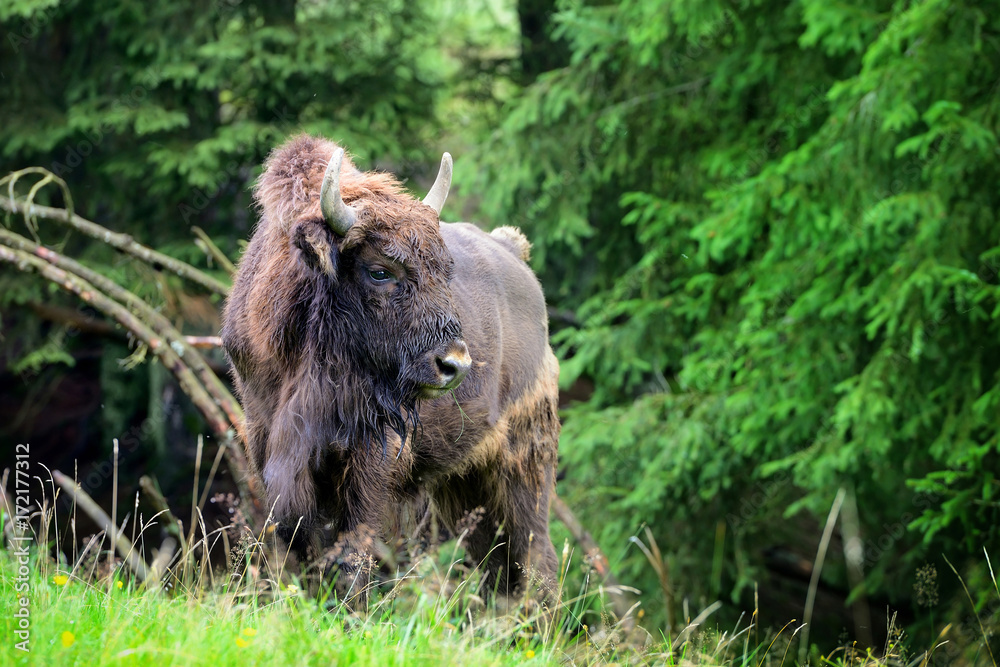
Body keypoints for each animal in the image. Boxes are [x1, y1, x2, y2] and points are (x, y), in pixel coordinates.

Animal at [221, 135, 560, 601]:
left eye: (445, 271)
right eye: (380, 271)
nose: (454, 364)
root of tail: (516, 255)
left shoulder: (374, 460)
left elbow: (354, 550)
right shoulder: (270, 446)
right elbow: (304, 545)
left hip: (524, 461)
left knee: (536, 555)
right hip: (465, 480)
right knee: (495, 561)